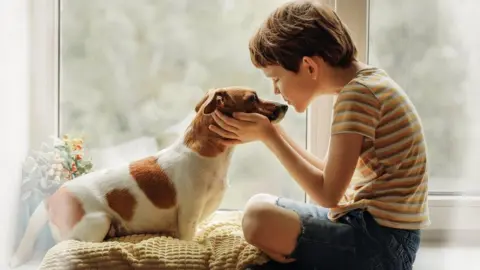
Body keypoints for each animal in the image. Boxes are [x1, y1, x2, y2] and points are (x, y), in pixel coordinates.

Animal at [10, 87, 288, 268]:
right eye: (252, 98)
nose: (285, 105)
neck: (209, 155)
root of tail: (54, 198)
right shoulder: (188, 218)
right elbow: (191, 238)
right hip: (97, 222)